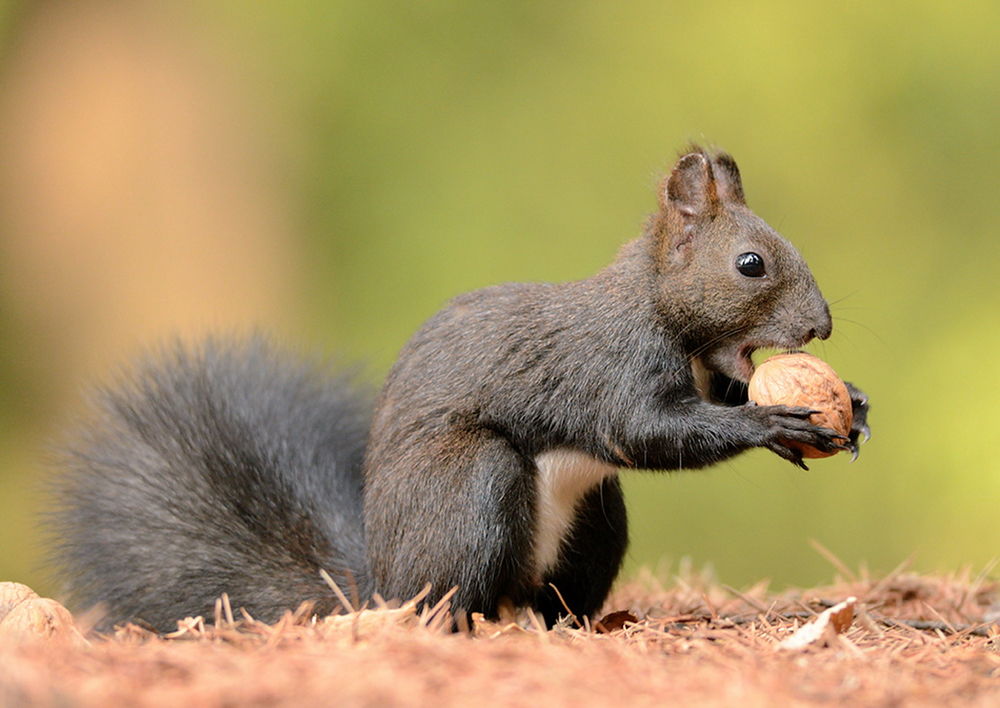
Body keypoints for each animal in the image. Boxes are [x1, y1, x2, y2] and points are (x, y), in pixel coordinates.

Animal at [50, 148, 872, 632]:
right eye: (750, 264)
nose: (824, 326)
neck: (661, 314)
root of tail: (380, 582)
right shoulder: (609, 366)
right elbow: (647, 432)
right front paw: (774, 423)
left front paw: (853, 406)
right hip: (472, 487)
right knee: (448, 596)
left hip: (597, 522)